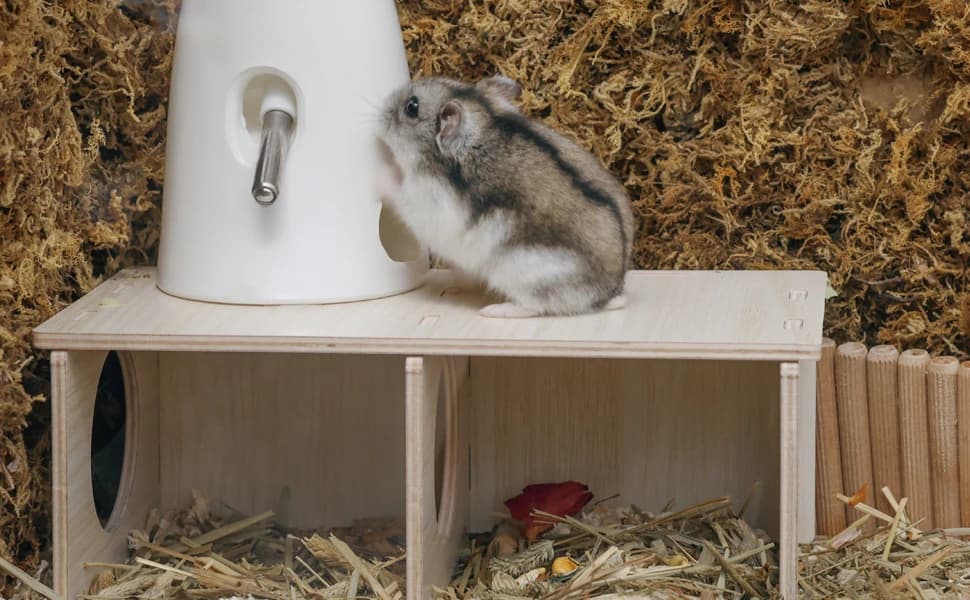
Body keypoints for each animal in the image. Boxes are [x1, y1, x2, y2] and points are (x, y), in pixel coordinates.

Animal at [375, 74, 634, 318]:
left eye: (412, 107)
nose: (380, 111)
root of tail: (608, 294)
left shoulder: (427, 203)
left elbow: (399, 193)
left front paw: (380, 177)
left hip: (524, 273)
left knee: (535, 306)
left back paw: (492, 310)